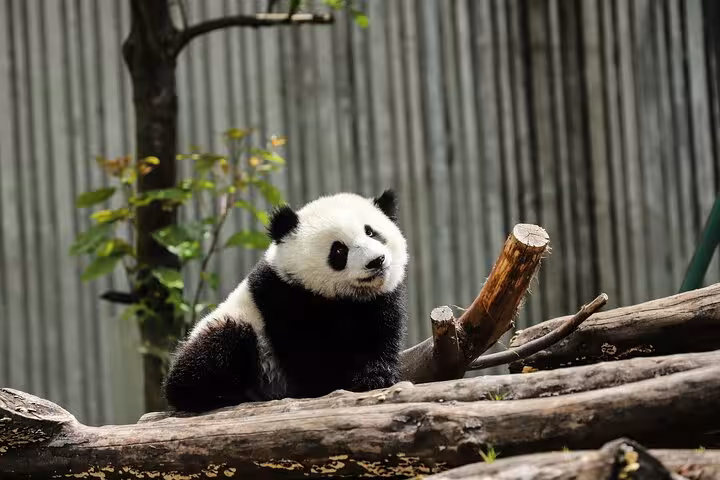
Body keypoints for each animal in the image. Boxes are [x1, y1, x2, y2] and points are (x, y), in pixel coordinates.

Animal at [163, 189, 408, 413]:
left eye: (371, 232)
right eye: (339, 250)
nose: (376, 261)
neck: (341, 297)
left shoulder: (378, 302)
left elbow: (379, 336)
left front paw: (374, 376)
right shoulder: (282, 297)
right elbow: (306, 352)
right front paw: (333, 381)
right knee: (218, 346)